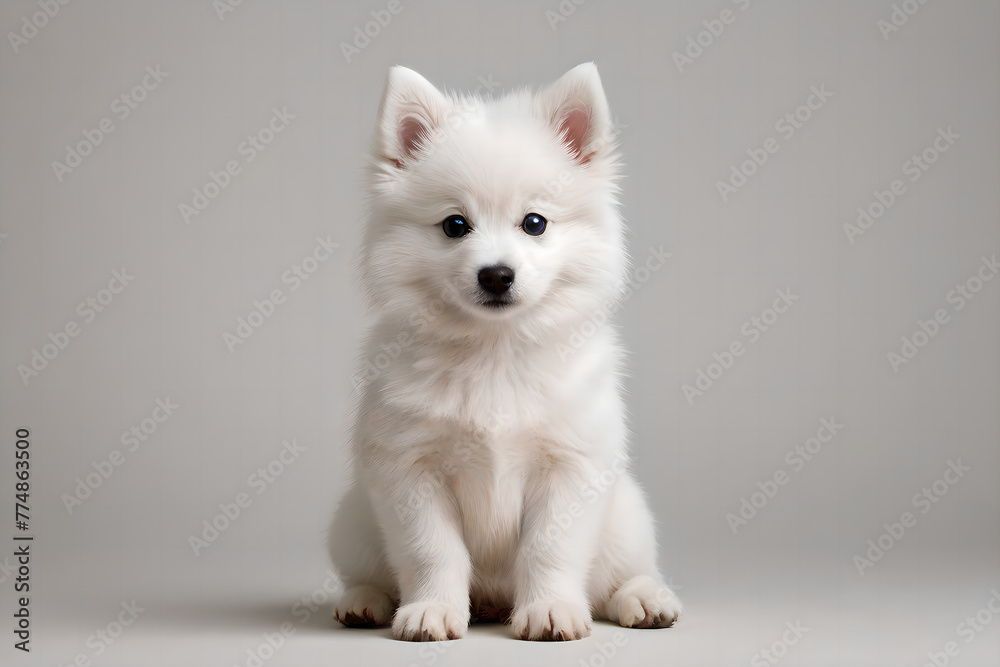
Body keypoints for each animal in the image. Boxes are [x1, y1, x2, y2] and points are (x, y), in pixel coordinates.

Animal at [332, 64, 684, 640]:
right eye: (455, 225)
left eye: (534, 223)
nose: (496, 274)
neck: (494, 351)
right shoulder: (409, 471)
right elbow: (433, 550)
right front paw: (433, 610)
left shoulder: (570, 467)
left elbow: (549, 548)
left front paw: (549, 610)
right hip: (355, 518)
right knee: (366, 572)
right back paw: (364, 601)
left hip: (627, 517)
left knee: (622, 575)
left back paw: (644, 598)